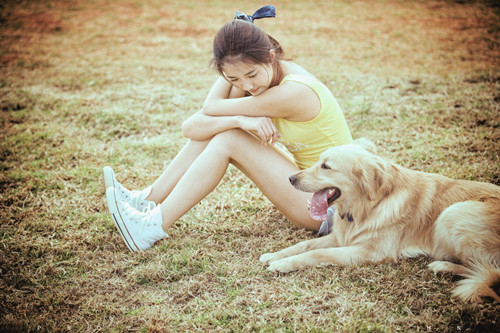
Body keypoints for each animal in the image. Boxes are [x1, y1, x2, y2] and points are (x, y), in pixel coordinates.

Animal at [262, 137, 500, 300]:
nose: (290, 178)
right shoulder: (341, 237)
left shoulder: (370, 251)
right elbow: (305, 244)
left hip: (452, 213)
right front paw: (275, 255)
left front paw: (283, 263)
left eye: (326, 166)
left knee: (487, 270)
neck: (367, 207)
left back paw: (443, 266)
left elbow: (318, 253)